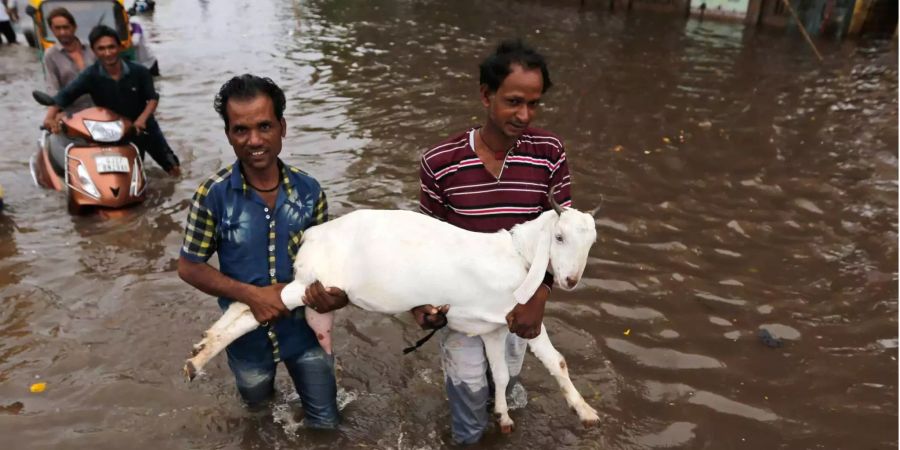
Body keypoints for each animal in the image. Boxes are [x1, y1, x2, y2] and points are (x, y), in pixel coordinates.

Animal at [185, 199, 600, 430]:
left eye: (591, 242)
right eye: (559, 237)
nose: (570, 279)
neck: (518, 255)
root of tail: (313, 234)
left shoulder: (495, 328)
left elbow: (506, 373)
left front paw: (508, 415)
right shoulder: (517, 318)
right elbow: (554, 362)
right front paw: (583, 411)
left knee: (249, 304)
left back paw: (200, 346)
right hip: (314, 282)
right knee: (262, 307)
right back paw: (199, 358)